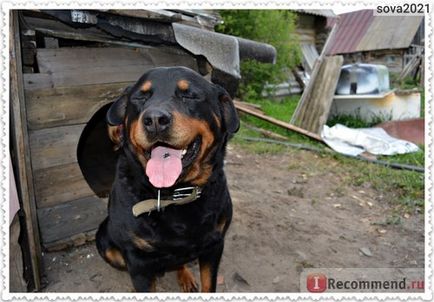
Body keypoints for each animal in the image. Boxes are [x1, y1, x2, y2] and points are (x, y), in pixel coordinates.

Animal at [95, 66, 239, 292]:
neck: (176, 194)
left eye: (190, 95)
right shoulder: (138, 260)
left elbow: (209, 285)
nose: (155, 119)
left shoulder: (214, 246)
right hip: (104, 239)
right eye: (140, 97)